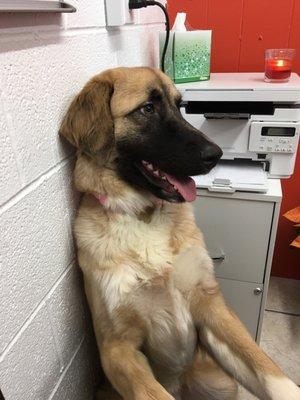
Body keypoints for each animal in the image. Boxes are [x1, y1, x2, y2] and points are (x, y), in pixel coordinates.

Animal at [59, 67, 300, 398]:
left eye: (179, 105)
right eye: (147, 108)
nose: (216, 154)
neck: (144, 215)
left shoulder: (211, 306)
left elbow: (266, 367)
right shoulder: (116, 348)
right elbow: (152, 391)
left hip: (223, 384)